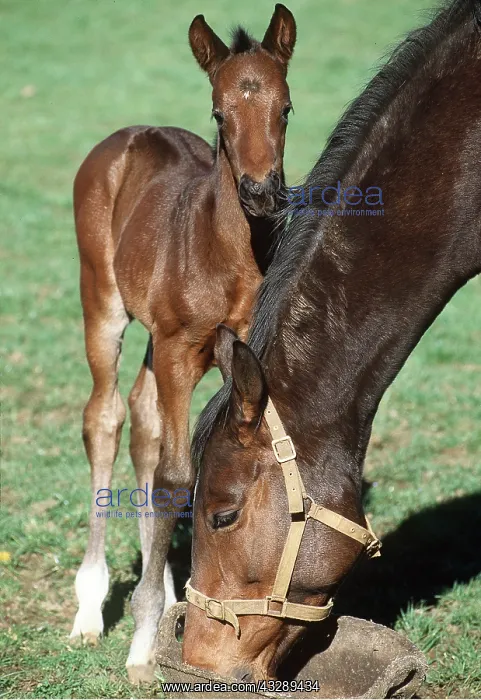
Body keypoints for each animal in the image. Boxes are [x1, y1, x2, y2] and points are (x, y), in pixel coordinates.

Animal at [69, 4, 297, 682]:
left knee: (145, 424)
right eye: (220, 112)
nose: (261, 193)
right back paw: (90, 608)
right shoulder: (177, 345)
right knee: (107, 417)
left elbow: (198, 458)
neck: (227, 251)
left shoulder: (236, 351)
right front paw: (144, 646)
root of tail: (126, 136)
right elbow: (175, 473)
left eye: (285, 108)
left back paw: (161, 587)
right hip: (105, 304)